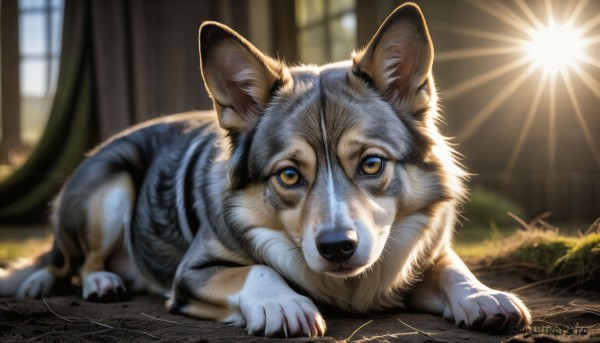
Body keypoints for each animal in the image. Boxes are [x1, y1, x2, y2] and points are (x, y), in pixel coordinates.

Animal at [2, 2, 532, 338]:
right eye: (289, 175)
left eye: (371, 163)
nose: (337, 248)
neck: (348, 289)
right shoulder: (191, 274)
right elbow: (257, 268)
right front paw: (284, 303)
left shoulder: (420, 252)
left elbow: (452, 267)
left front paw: (484, 296)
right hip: (109, 189)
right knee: (73, 262)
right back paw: (95, 282)